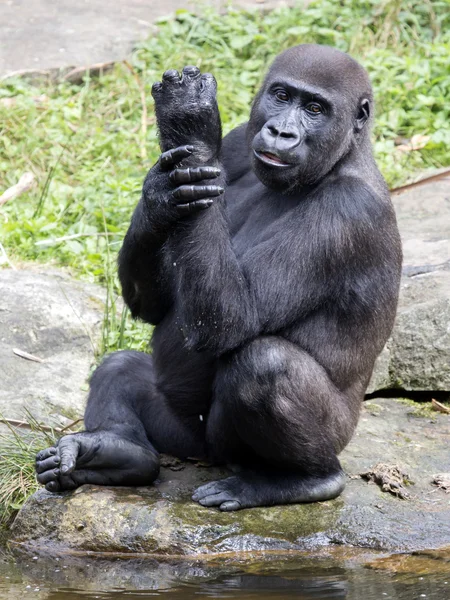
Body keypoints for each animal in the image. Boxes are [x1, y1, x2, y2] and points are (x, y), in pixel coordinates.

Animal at [34, 44, 400, 508]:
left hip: (308, 441)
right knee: (121, 368)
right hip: (186, 438)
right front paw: (159, 195)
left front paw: (190, 125)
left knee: (264, 366)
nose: (282, 133)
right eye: (282, 96)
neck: (343, 156)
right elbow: (155, 307)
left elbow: (234, 319)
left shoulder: (348, 211)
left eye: (315, 109)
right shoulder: (240, 142)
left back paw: (306, 479)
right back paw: (115, 454)